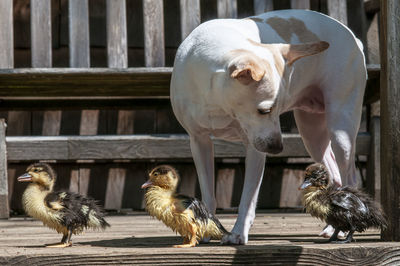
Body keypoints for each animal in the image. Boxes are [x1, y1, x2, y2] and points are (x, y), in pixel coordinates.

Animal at [169, 9, 366, 243]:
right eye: (264, 110)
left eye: (279, 109)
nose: (277, 148)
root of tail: (353, 37)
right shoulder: (199, 141)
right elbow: (208, 193)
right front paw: (204, 227)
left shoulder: (254, 147)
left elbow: (248, 198)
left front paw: (238, 233)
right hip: (312, 135)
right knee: (335, 176)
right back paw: (331, 226)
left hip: (340, 132)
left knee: (349, 176)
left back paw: (344, 227)